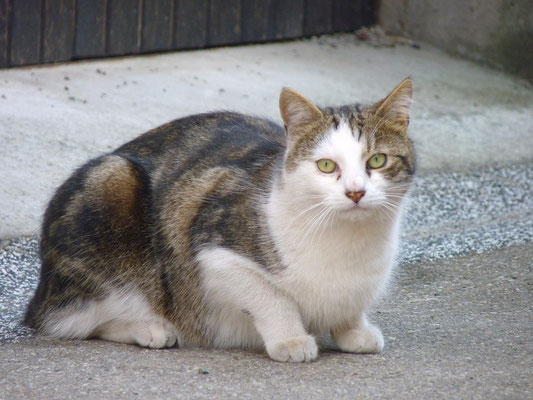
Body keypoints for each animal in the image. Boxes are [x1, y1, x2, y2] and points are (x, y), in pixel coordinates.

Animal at [23, 79, 416, 362]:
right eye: (326, 165)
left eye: (377, 160)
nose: (355, 192)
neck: (348, 243)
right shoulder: (211, 245)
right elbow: (270, 297)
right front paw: (290, 339)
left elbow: (350, 305)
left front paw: (353, 330)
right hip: (112, 184)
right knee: (74, 319)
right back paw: (150, 328)